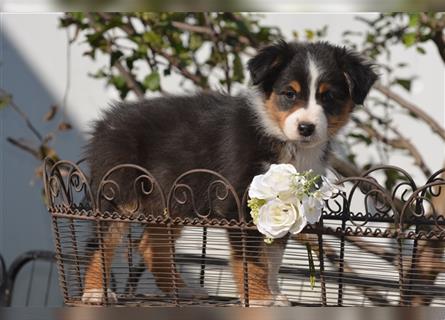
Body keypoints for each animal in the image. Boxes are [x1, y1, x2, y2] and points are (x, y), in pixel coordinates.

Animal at [81, 40, 376, 304]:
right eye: (289, 94)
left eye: (329, 97)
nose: (306, 128)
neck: (282, 140)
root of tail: (105, 122)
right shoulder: (239, 203)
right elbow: (253, 259)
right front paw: (259, 299)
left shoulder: (286, 203)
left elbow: (273, 258)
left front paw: (275, 295)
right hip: (120, 194)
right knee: (100, 245)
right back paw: (95, 293)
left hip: (170, 198)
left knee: (151, 248)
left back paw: (184, 292)